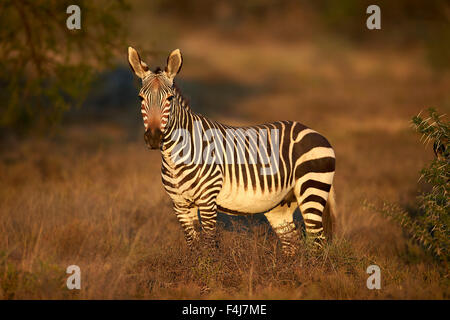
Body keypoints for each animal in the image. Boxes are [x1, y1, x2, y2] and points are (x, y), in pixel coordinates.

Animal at [128, 46, 336, 255]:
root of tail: (313, 131)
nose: (154, 138)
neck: (175, 157)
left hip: (312, 188)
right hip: (280, 205)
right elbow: (194, 248)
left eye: (169, 99)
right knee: (292, 243)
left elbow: (210, 247)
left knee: (317, 241)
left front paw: (210, 264)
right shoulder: (180, 205)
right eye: (140, 98)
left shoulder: (207, 201)